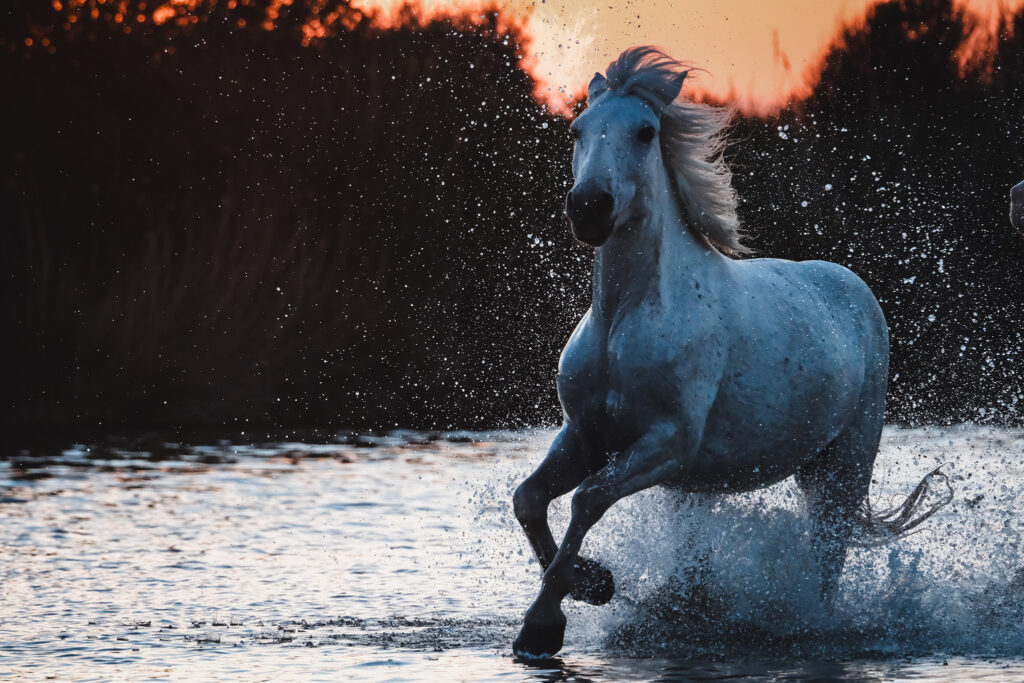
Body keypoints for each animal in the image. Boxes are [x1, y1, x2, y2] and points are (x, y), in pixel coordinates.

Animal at [511, 47, 949, 658]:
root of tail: (852, 288)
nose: (590, 207)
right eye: (577, 130)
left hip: (844, 466)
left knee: (828, 558)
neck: (624, 317)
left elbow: (587, 499)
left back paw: (809, 623)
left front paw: (544, 623)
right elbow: (529, 498)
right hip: (717, 484)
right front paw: (595, 585)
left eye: (645, 132)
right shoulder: (588, 434)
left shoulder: (668, 441)